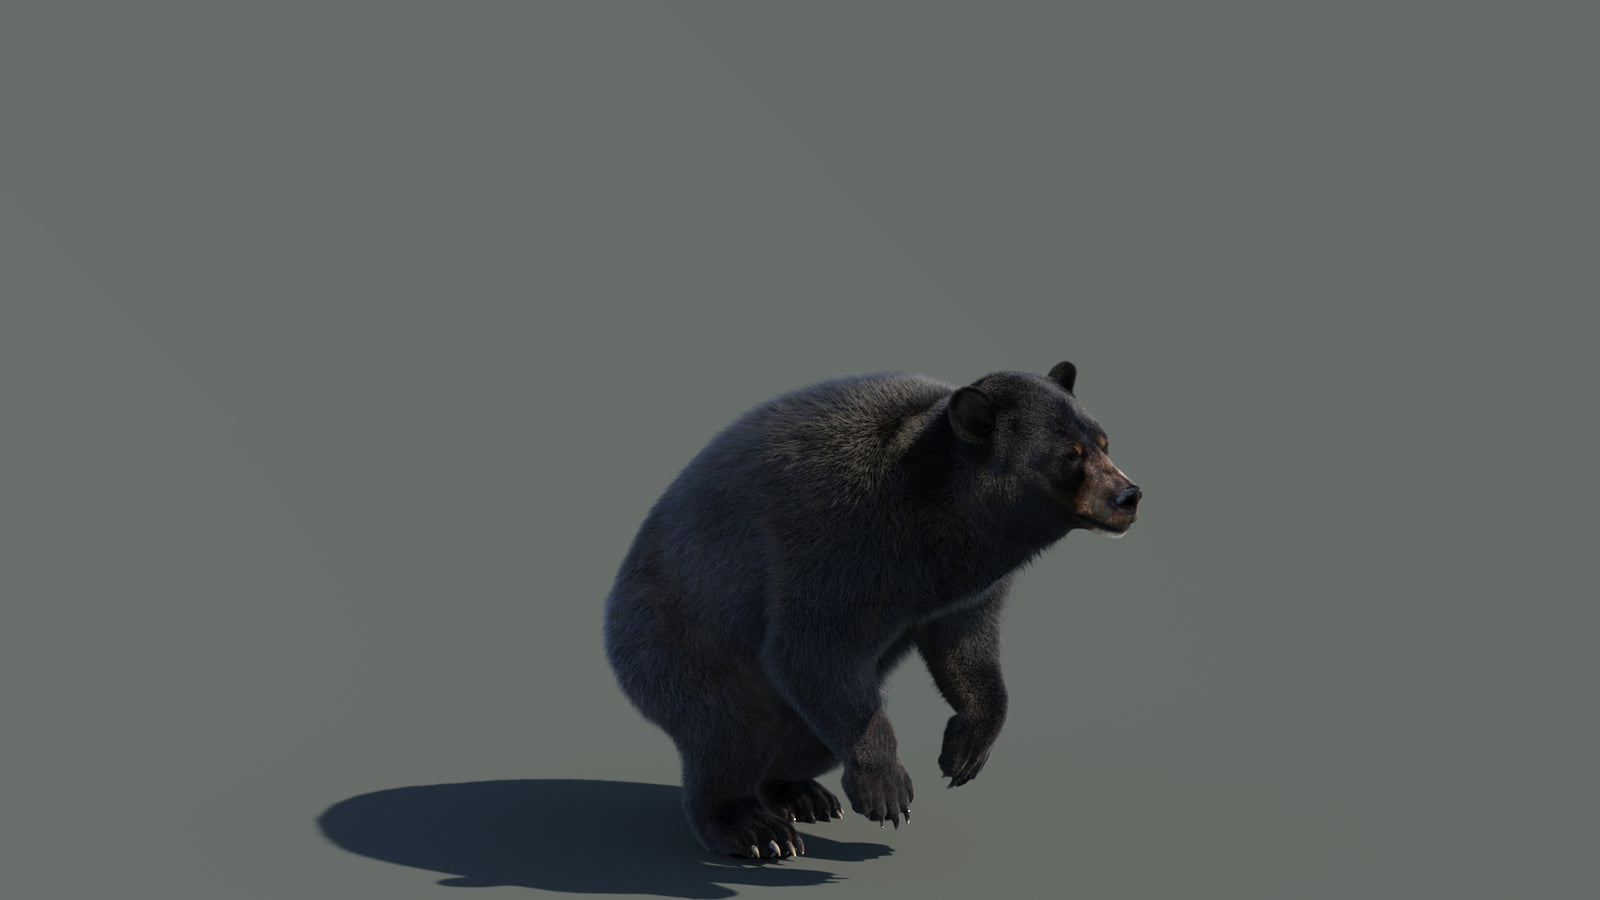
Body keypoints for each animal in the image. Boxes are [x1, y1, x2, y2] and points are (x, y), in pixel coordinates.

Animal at [603, 362, 1140, 859]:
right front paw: (887, 790)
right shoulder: (841, 537)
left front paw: (965, 751)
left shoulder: (967, 583)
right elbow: (812, 645)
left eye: (1103, 441)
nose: (1129, 495)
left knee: (804, 739)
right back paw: (755, 829)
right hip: (676, 642)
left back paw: (801, 794)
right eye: (1068, 457)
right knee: (730, 732)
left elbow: (965, 644)